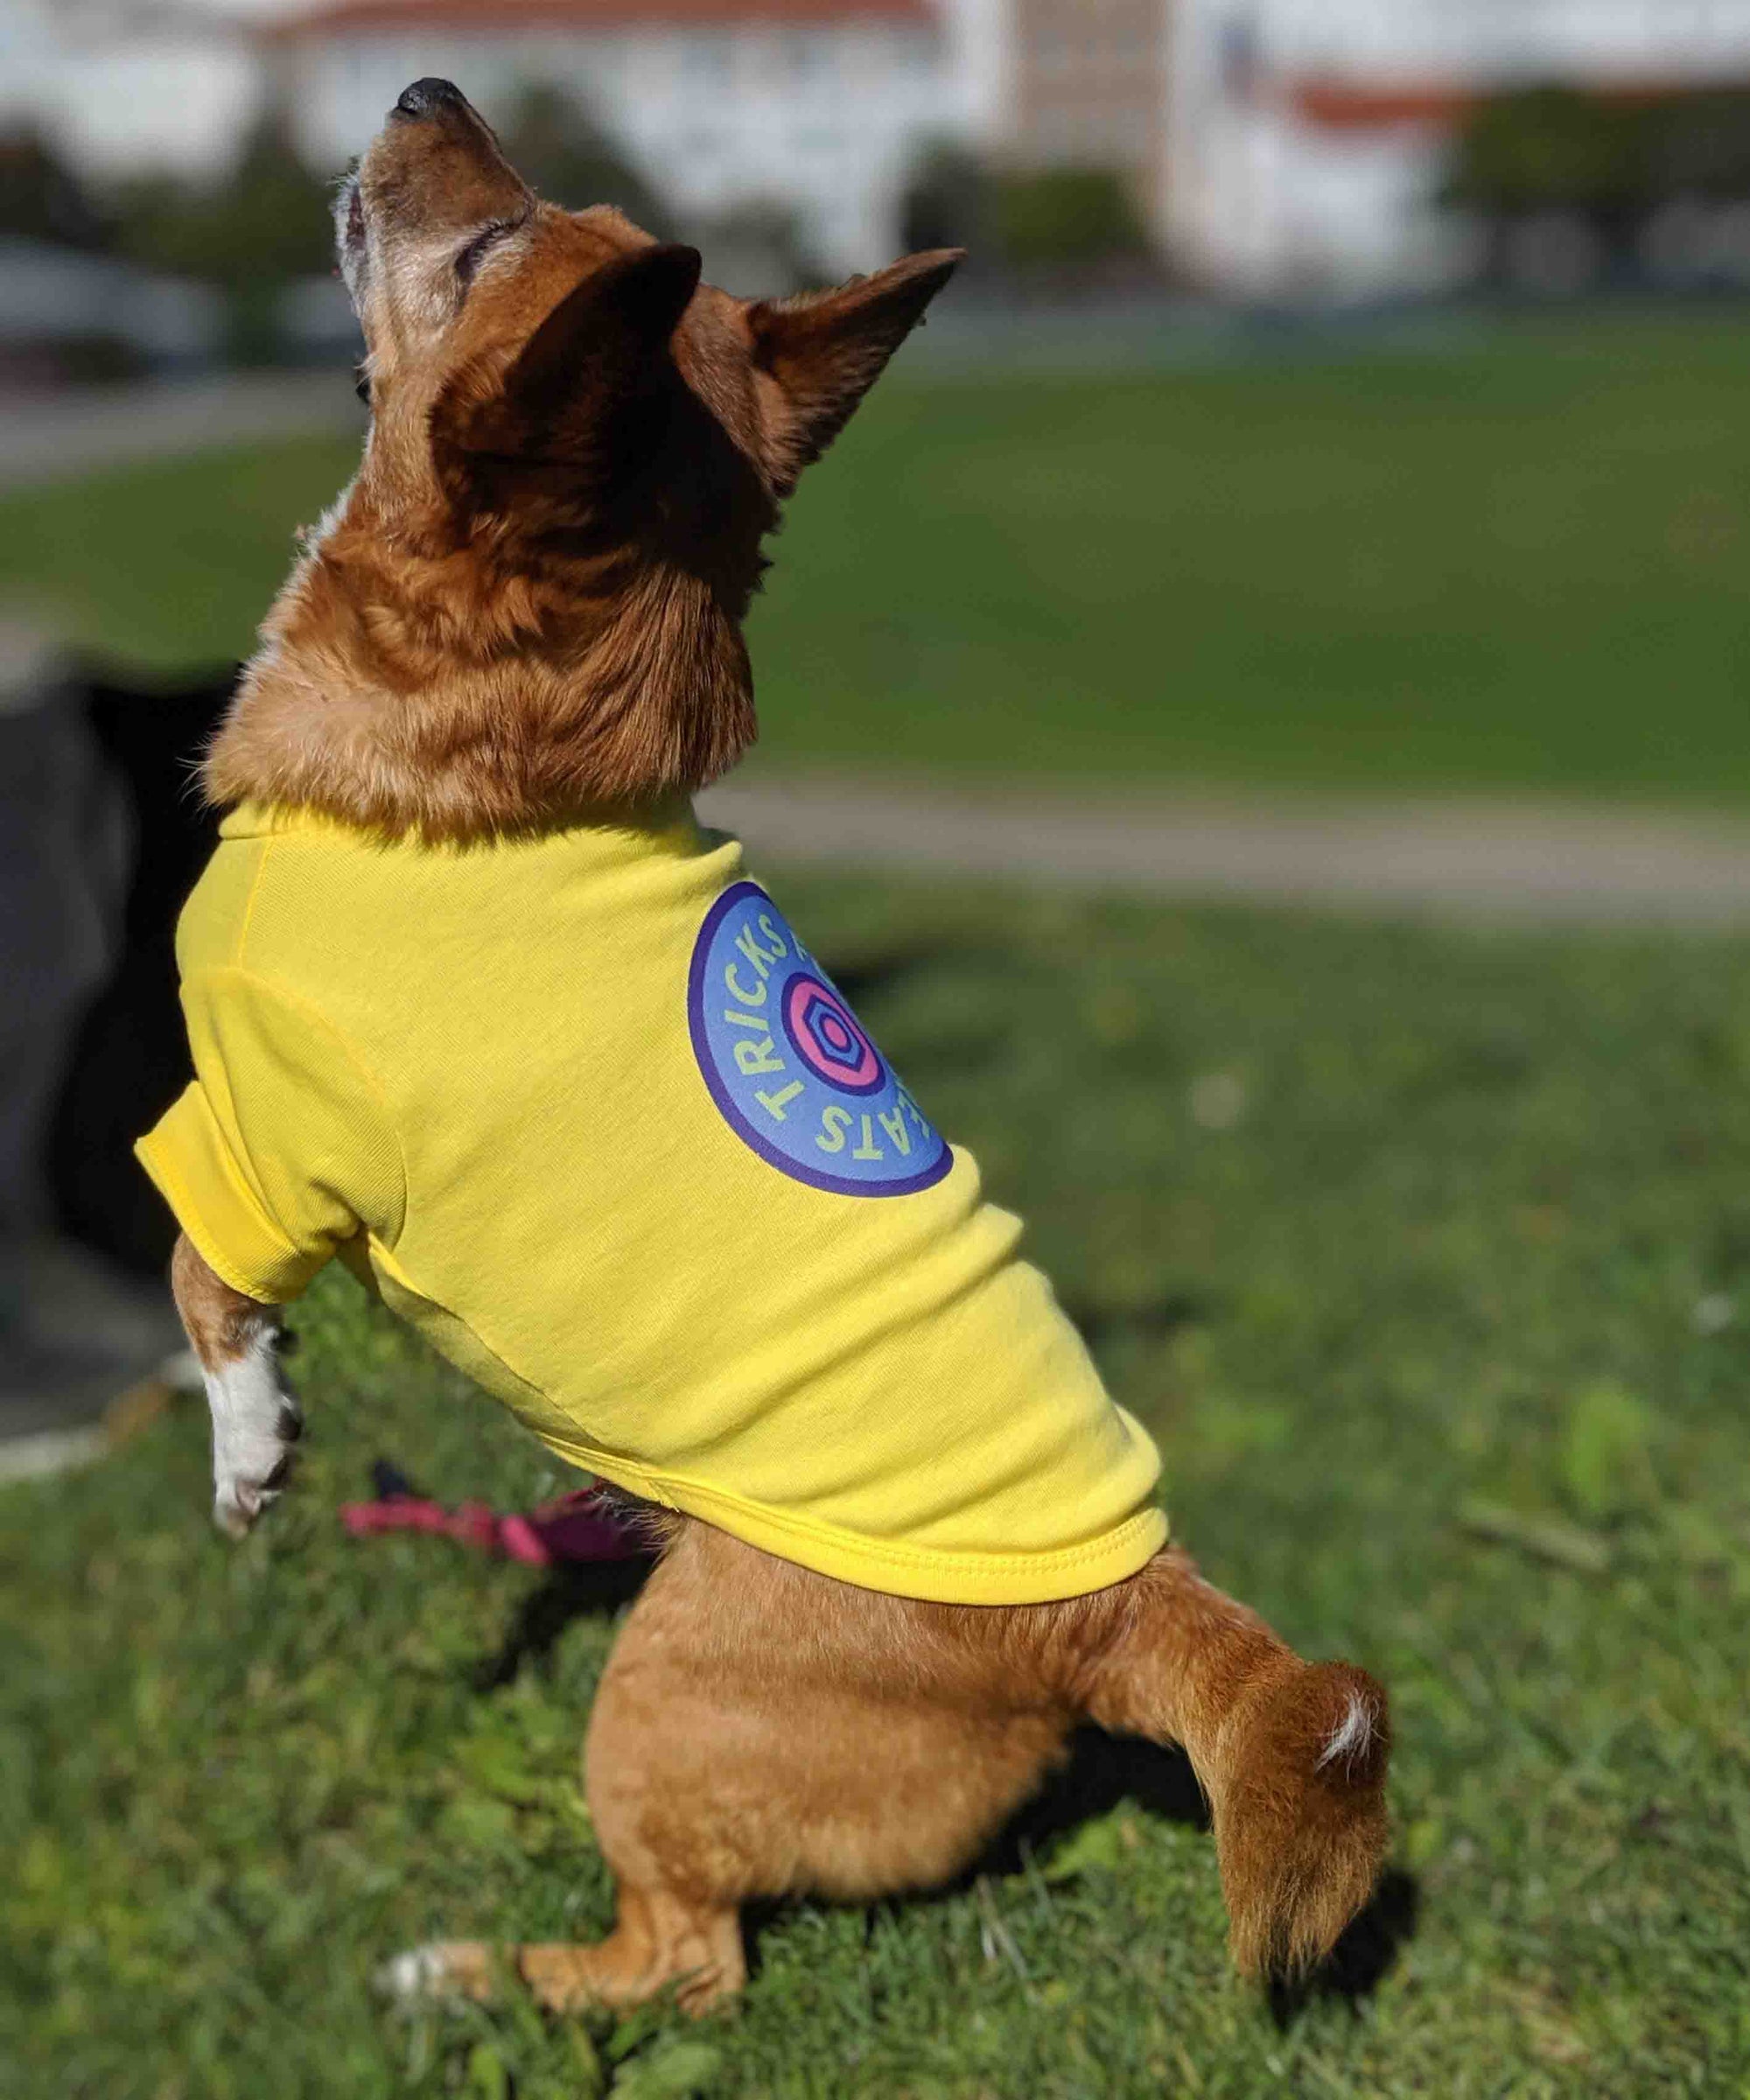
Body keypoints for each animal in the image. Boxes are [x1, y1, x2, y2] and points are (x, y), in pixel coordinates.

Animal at [166, 81, 1395, 2016]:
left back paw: (470, 1973)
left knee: (687, 1964)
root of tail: (1116, 1597)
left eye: (488, 246)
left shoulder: (257, 1140)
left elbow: (199, 1284)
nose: (430, 90)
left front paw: (246, 1450)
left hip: (653, 1707)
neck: (516, 761)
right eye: (544, 209)